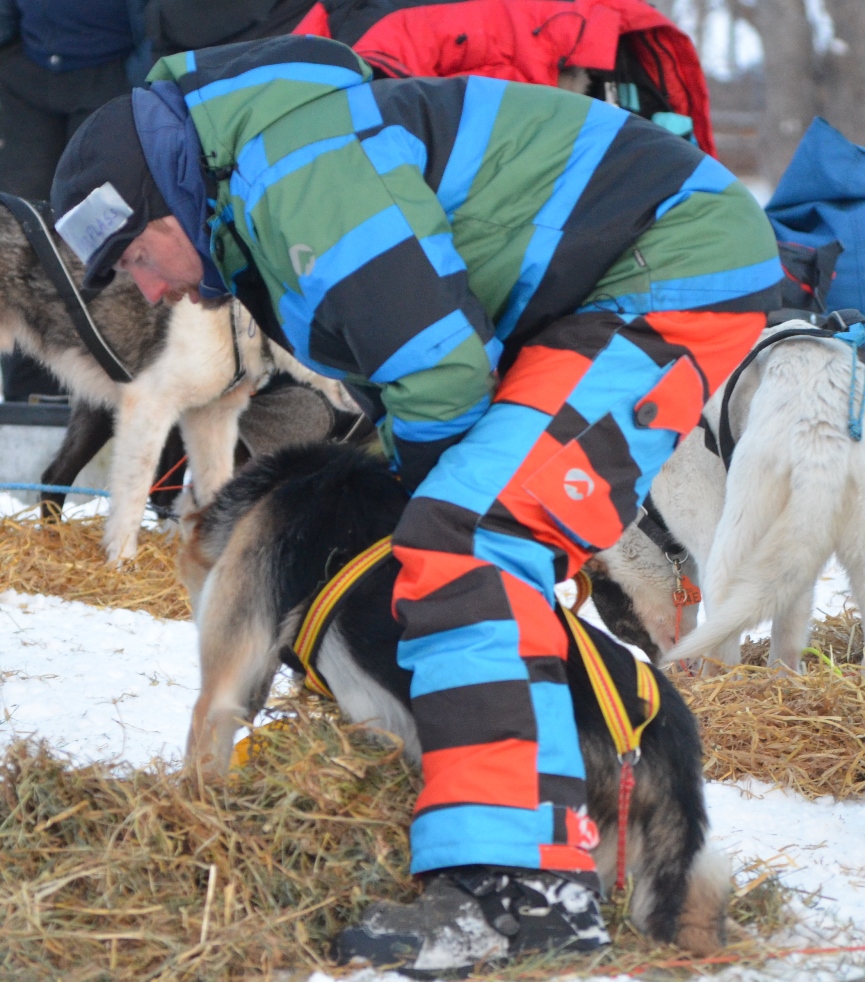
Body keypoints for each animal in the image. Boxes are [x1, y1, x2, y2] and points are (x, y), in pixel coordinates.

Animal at [0, 205, 359, 561]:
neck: (237, 312)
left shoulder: (211, 418)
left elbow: (215, 487)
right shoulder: (149, 406)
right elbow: (133, 493)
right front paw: (122, 559)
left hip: (97, 411)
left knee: (54, 476)